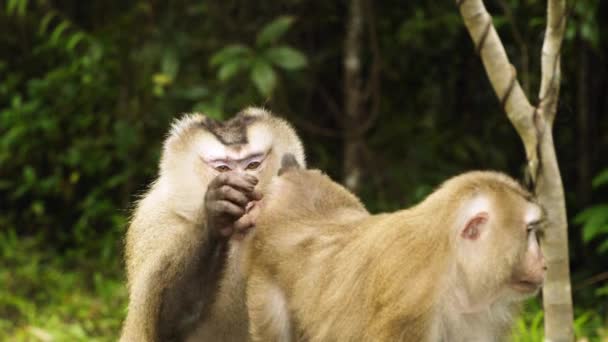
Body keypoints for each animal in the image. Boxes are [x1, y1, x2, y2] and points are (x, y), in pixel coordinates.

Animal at [119, 107, 306, 342]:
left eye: (253, 165)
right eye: (223, 168)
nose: (249, 198)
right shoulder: (156, 221)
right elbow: (164, 326)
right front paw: (217, 217)